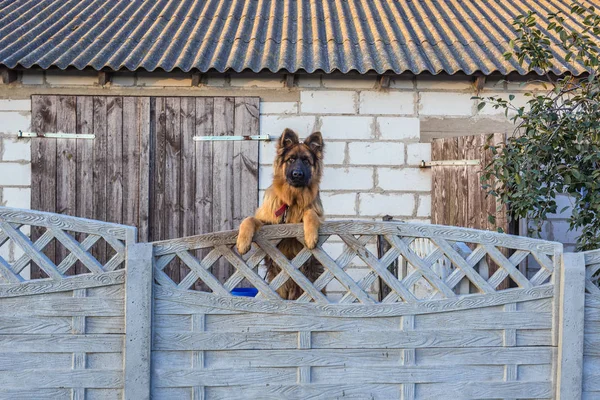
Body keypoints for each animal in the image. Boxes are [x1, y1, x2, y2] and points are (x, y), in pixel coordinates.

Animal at [237, 128, 326, 300]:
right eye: (291, 159)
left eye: (306, 161)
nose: (297, 174)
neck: (292, 201)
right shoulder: (267, 225)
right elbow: (249, 219)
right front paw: (243, 242)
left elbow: (310, 212)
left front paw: (311, 236)